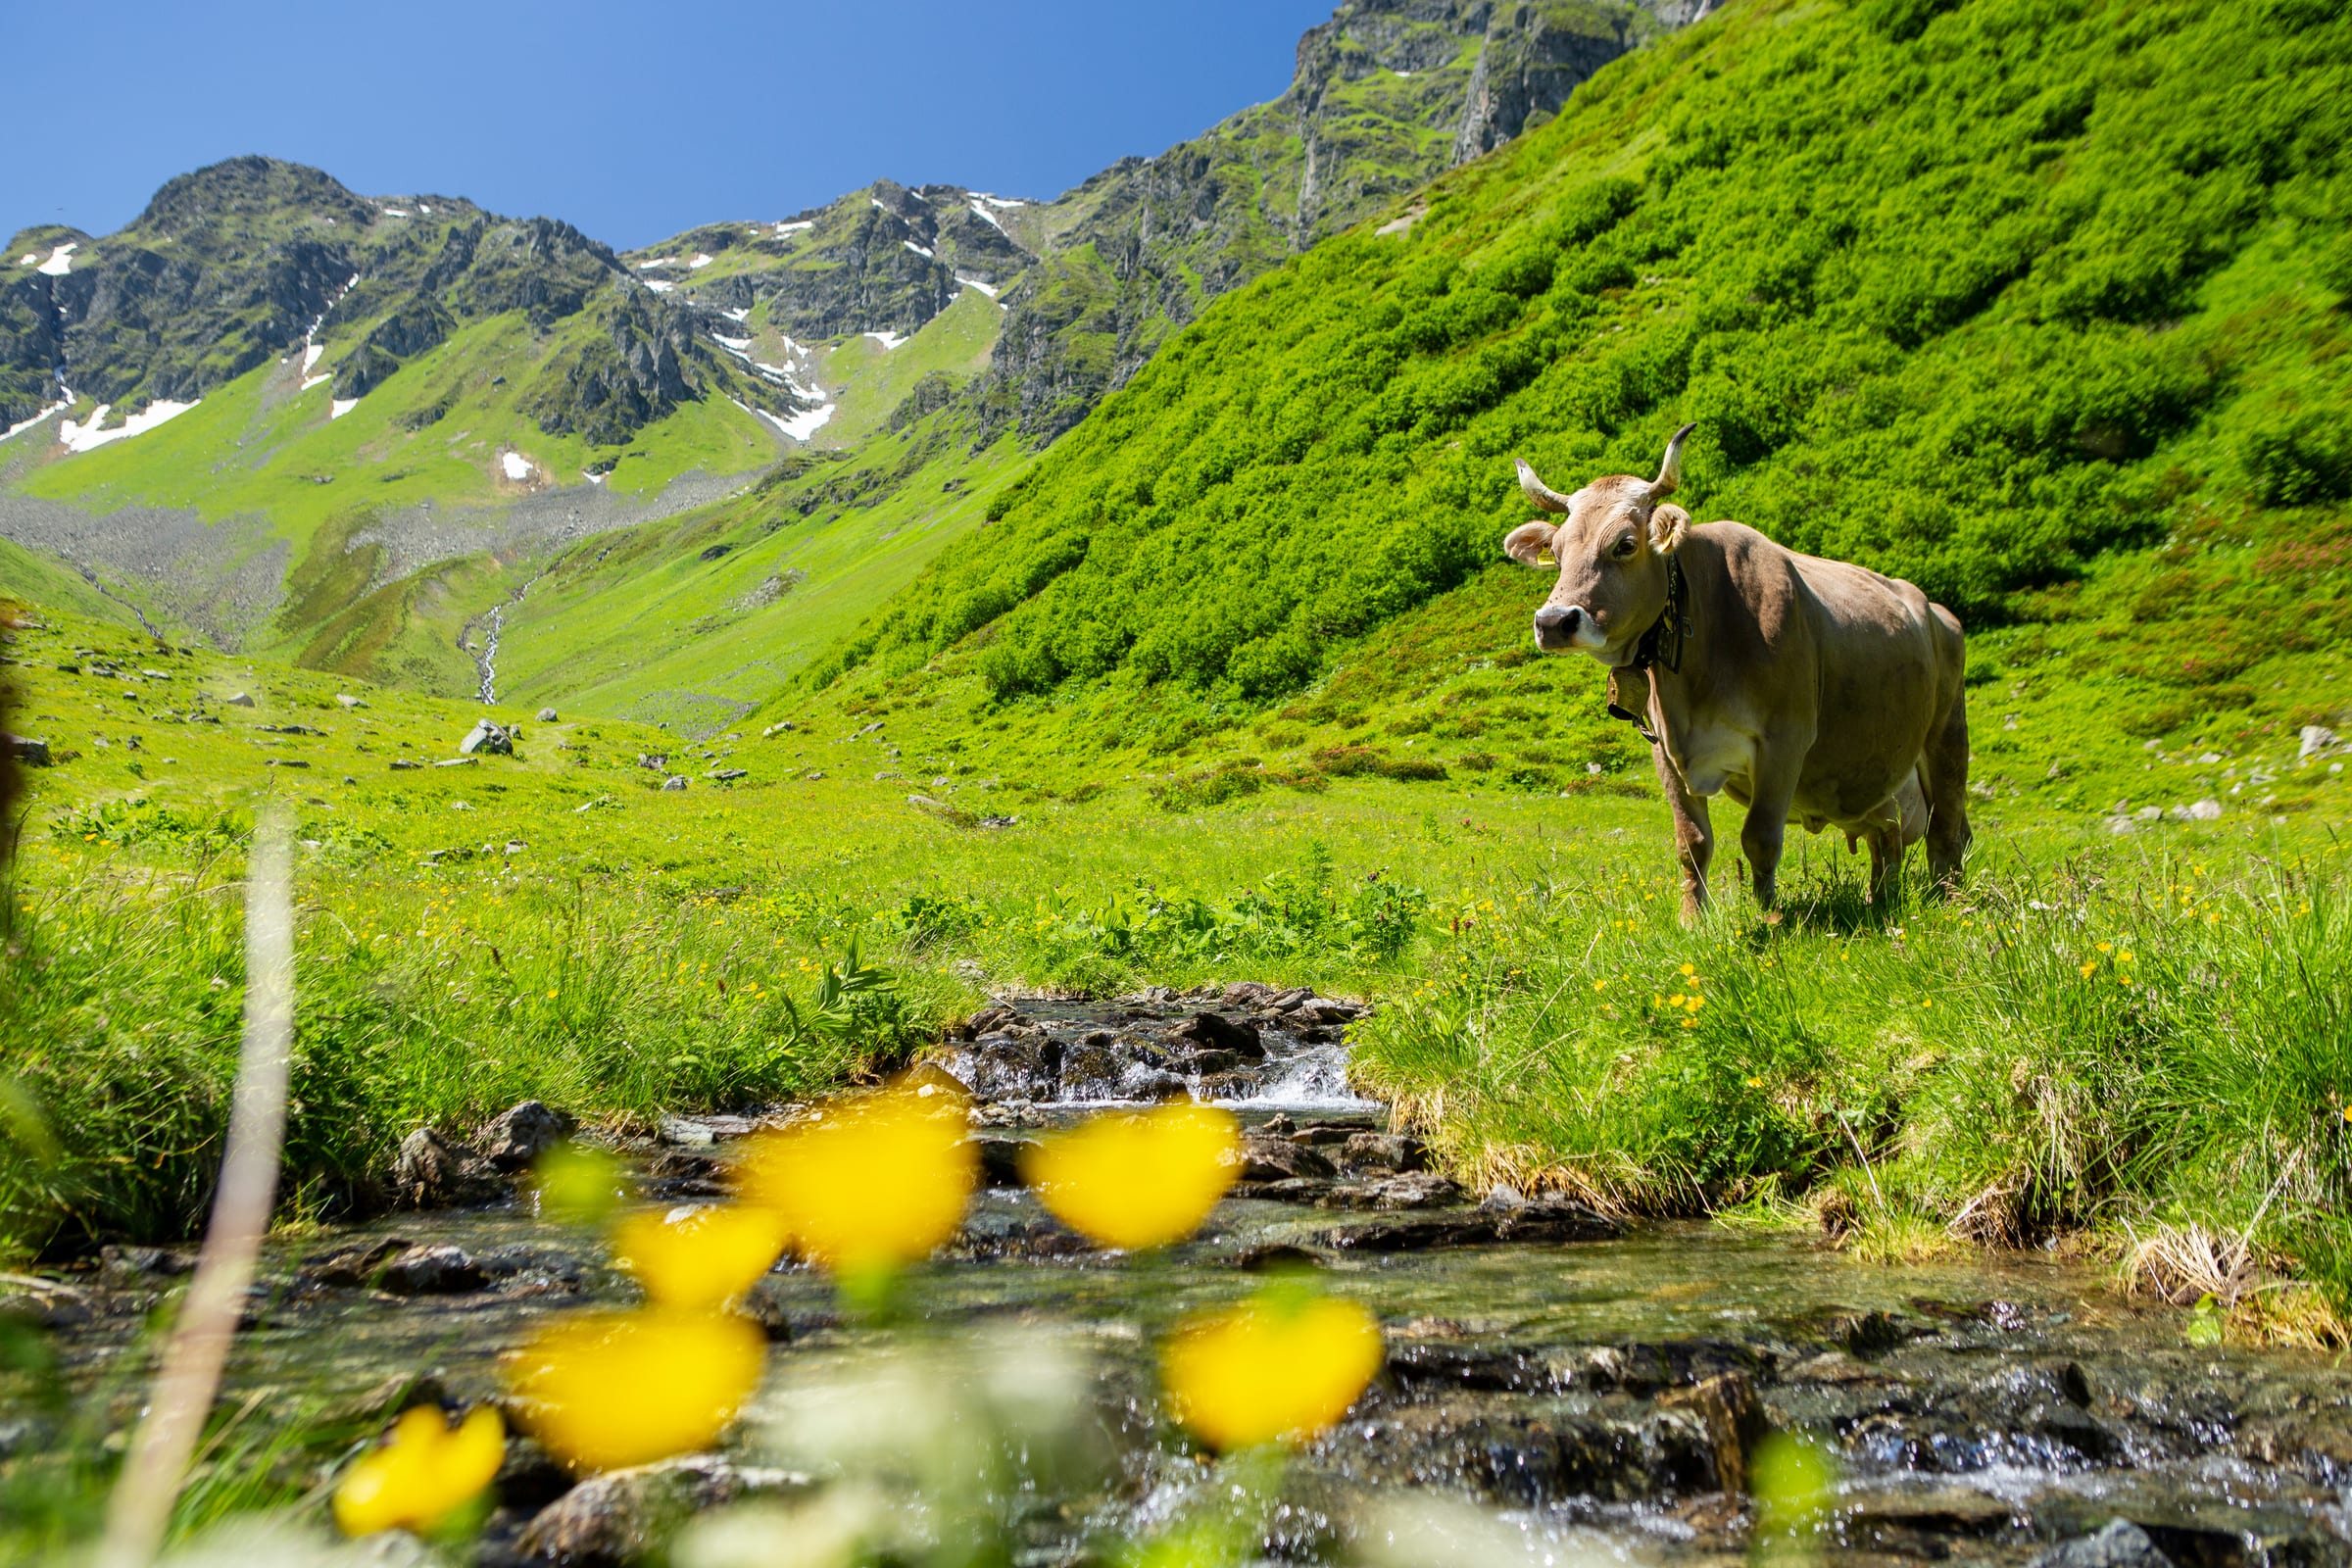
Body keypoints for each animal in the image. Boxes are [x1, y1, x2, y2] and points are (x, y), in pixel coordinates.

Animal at [1502, 425, 1971, 918]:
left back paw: (1950, 902)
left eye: (1625, 544)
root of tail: (1932, 608)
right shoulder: (1665, 751)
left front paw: (1771, 916)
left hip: (1947, 739)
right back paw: (1879, 899)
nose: (1553, 622)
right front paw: (1692, 920)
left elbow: (1760, 838)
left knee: (1948, 831)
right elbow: (1692, 842)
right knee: (1888, 841)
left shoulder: (1786, 740)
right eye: (1556, 552)